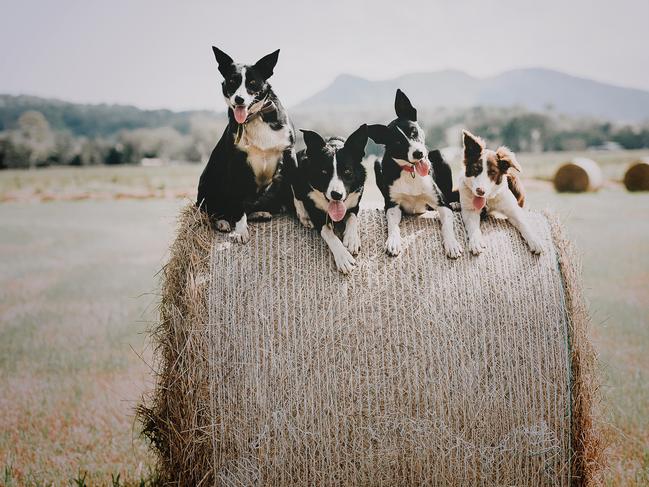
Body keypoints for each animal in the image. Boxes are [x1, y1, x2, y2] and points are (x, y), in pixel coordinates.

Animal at [196, 47, 294, 242]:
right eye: (232, 81)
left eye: (253, 82)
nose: (239, 99)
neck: (256, 117)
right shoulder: (237, 163)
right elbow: (238, 203)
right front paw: (241, 230)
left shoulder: (289, 152)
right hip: (208, 182)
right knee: (213, 210)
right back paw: (222, 222)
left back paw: (258, 213)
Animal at [290, 126, 368, 274]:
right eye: (324, 172)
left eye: (347, 172)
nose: (336, 194)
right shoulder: (316, 213)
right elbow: (328, 231)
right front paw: (343, 257)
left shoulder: (355, 203)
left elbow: (352, 217)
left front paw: (352, 239)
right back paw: (303, 215)